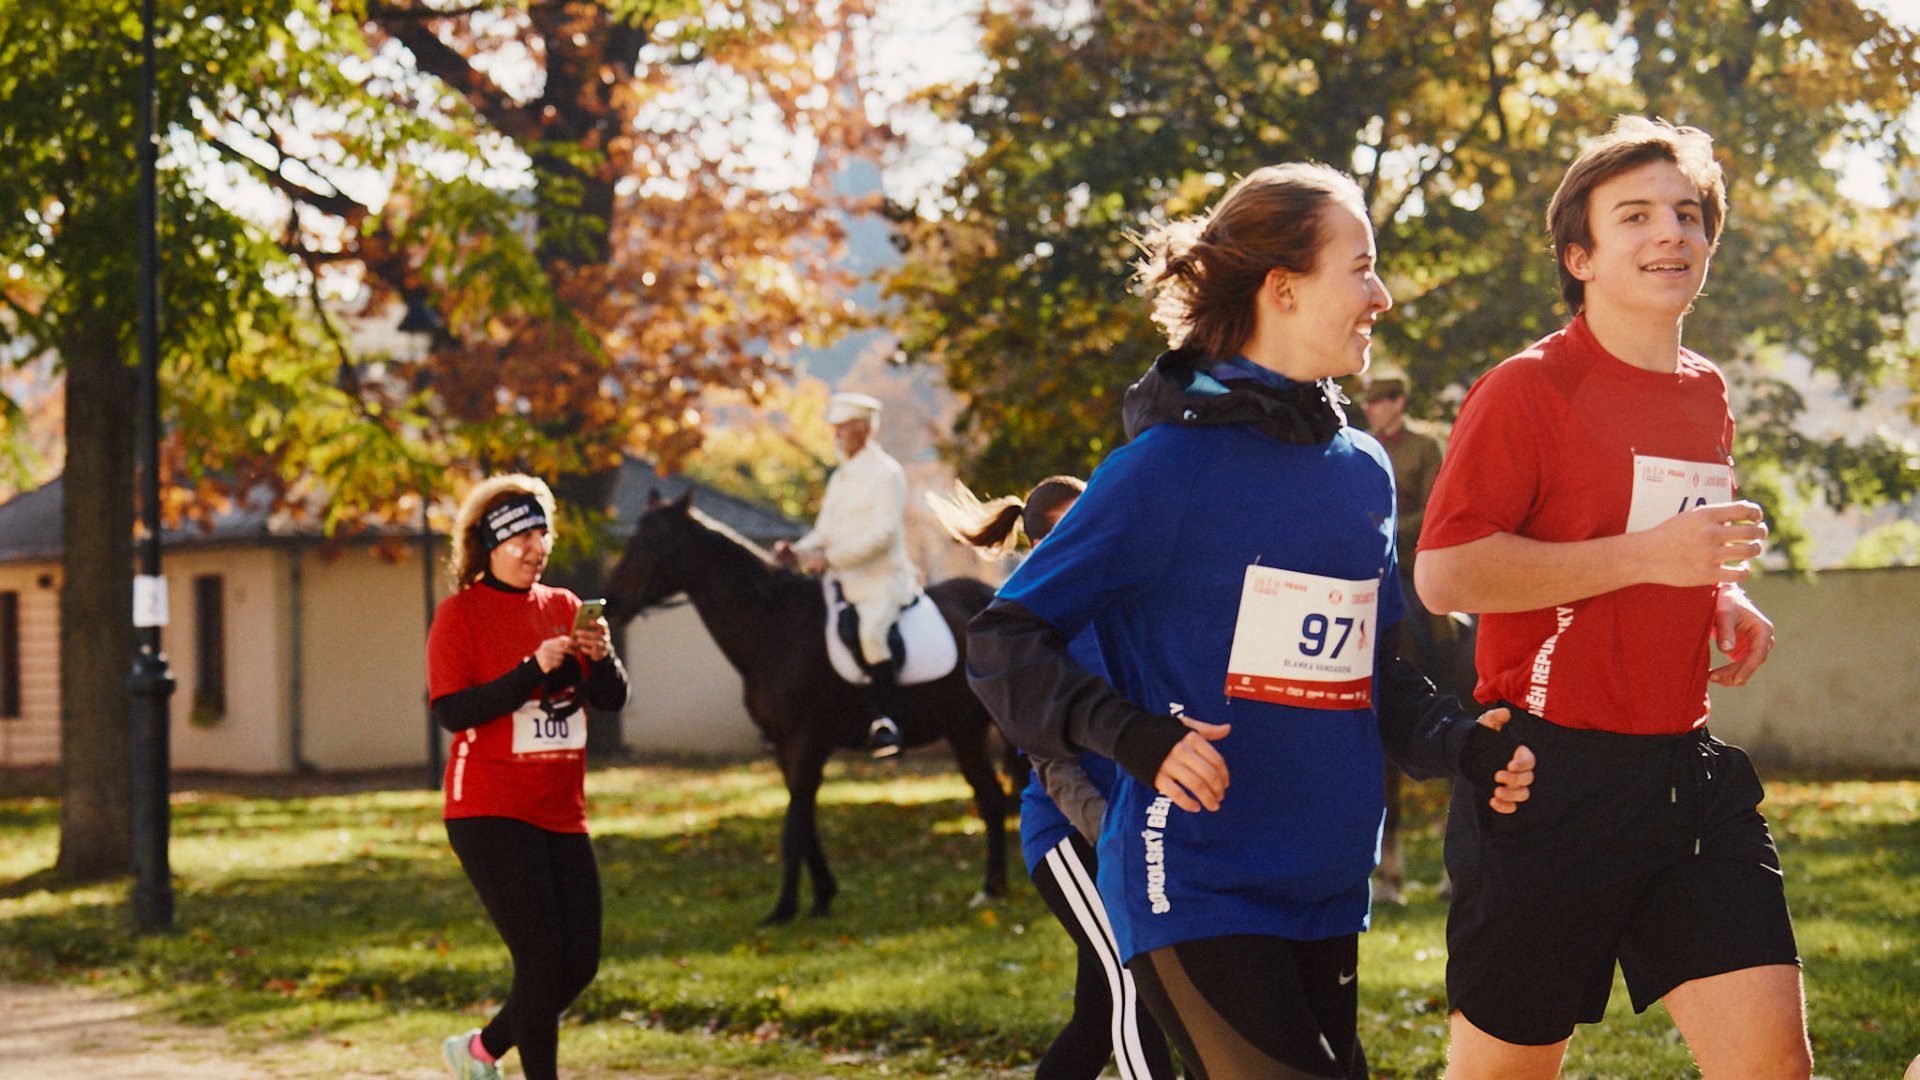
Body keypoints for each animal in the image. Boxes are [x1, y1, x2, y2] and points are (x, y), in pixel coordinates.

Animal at [606, 488, 1013, 914]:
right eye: (633, 536)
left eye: (660, 540)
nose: (611, 602)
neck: (775, 627)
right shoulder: (784, 745)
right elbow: (802, 819)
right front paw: (821, 896)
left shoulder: (805, 740)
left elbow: (794, 825)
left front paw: (784, 908)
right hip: (964, 730)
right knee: (991, 797)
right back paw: (991, 889)